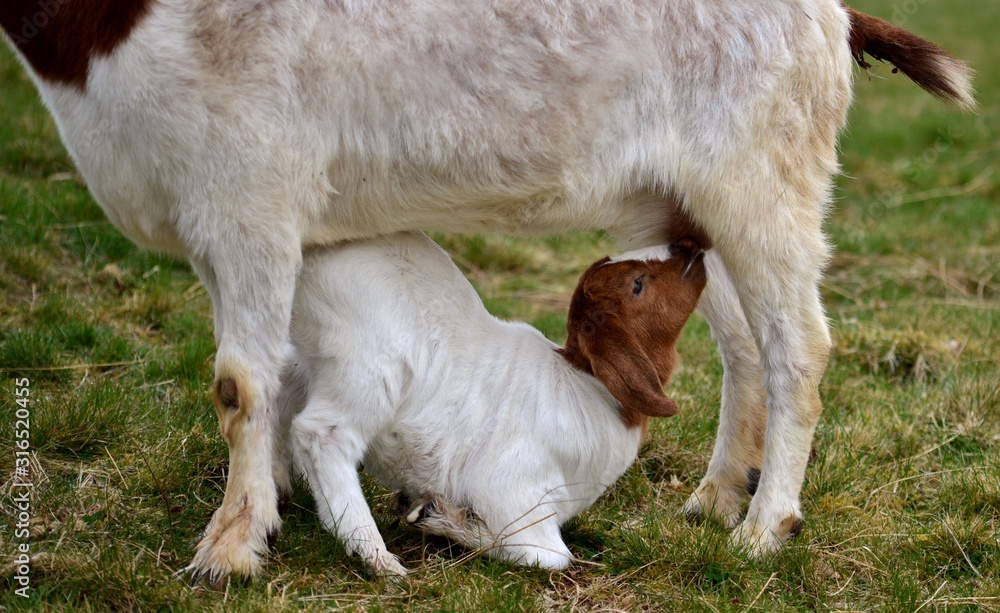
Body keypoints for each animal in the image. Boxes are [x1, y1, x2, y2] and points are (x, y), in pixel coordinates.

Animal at [283, 231, 706, 575]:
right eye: (638, 285)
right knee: (320, 435)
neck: (584, 384)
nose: (688, 246)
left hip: (306, 357)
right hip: (368, 365)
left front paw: (428, 512)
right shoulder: (514, 493)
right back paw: (377, 558)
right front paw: (436, 517)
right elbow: (547, 555)